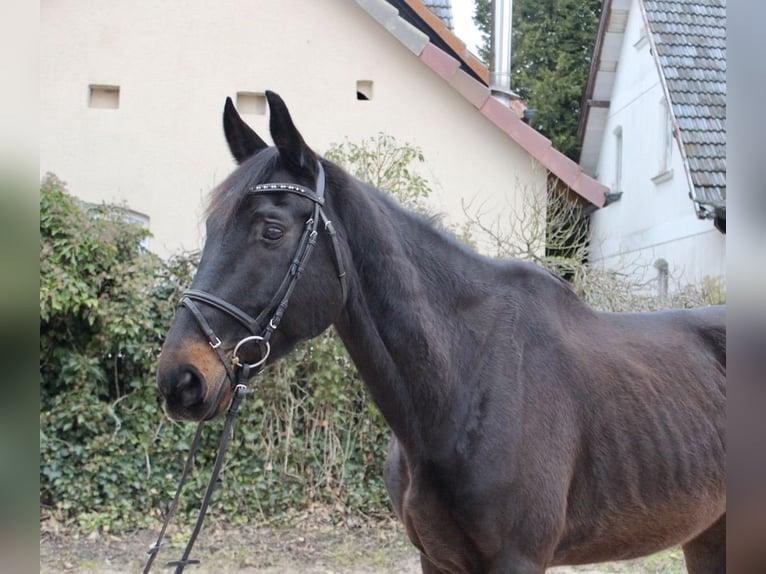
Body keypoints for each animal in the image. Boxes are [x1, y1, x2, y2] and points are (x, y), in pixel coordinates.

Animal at [154, 92, 728, 572]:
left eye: (271, 231)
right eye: (210, 229)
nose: (181, 379)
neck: (464, 383)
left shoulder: (518, 561)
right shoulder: (437, 558)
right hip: (708, 535)